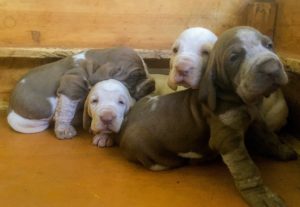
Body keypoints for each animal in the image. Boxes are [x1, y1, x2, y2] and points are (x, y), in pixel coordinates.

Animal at [7, 47, 155, 139]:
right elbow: (65, 111)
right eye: (135, 76)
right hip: (30, 124)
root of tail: (10, 107)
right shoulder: (71, 84)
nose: (152, 85)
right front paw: (64, 130)